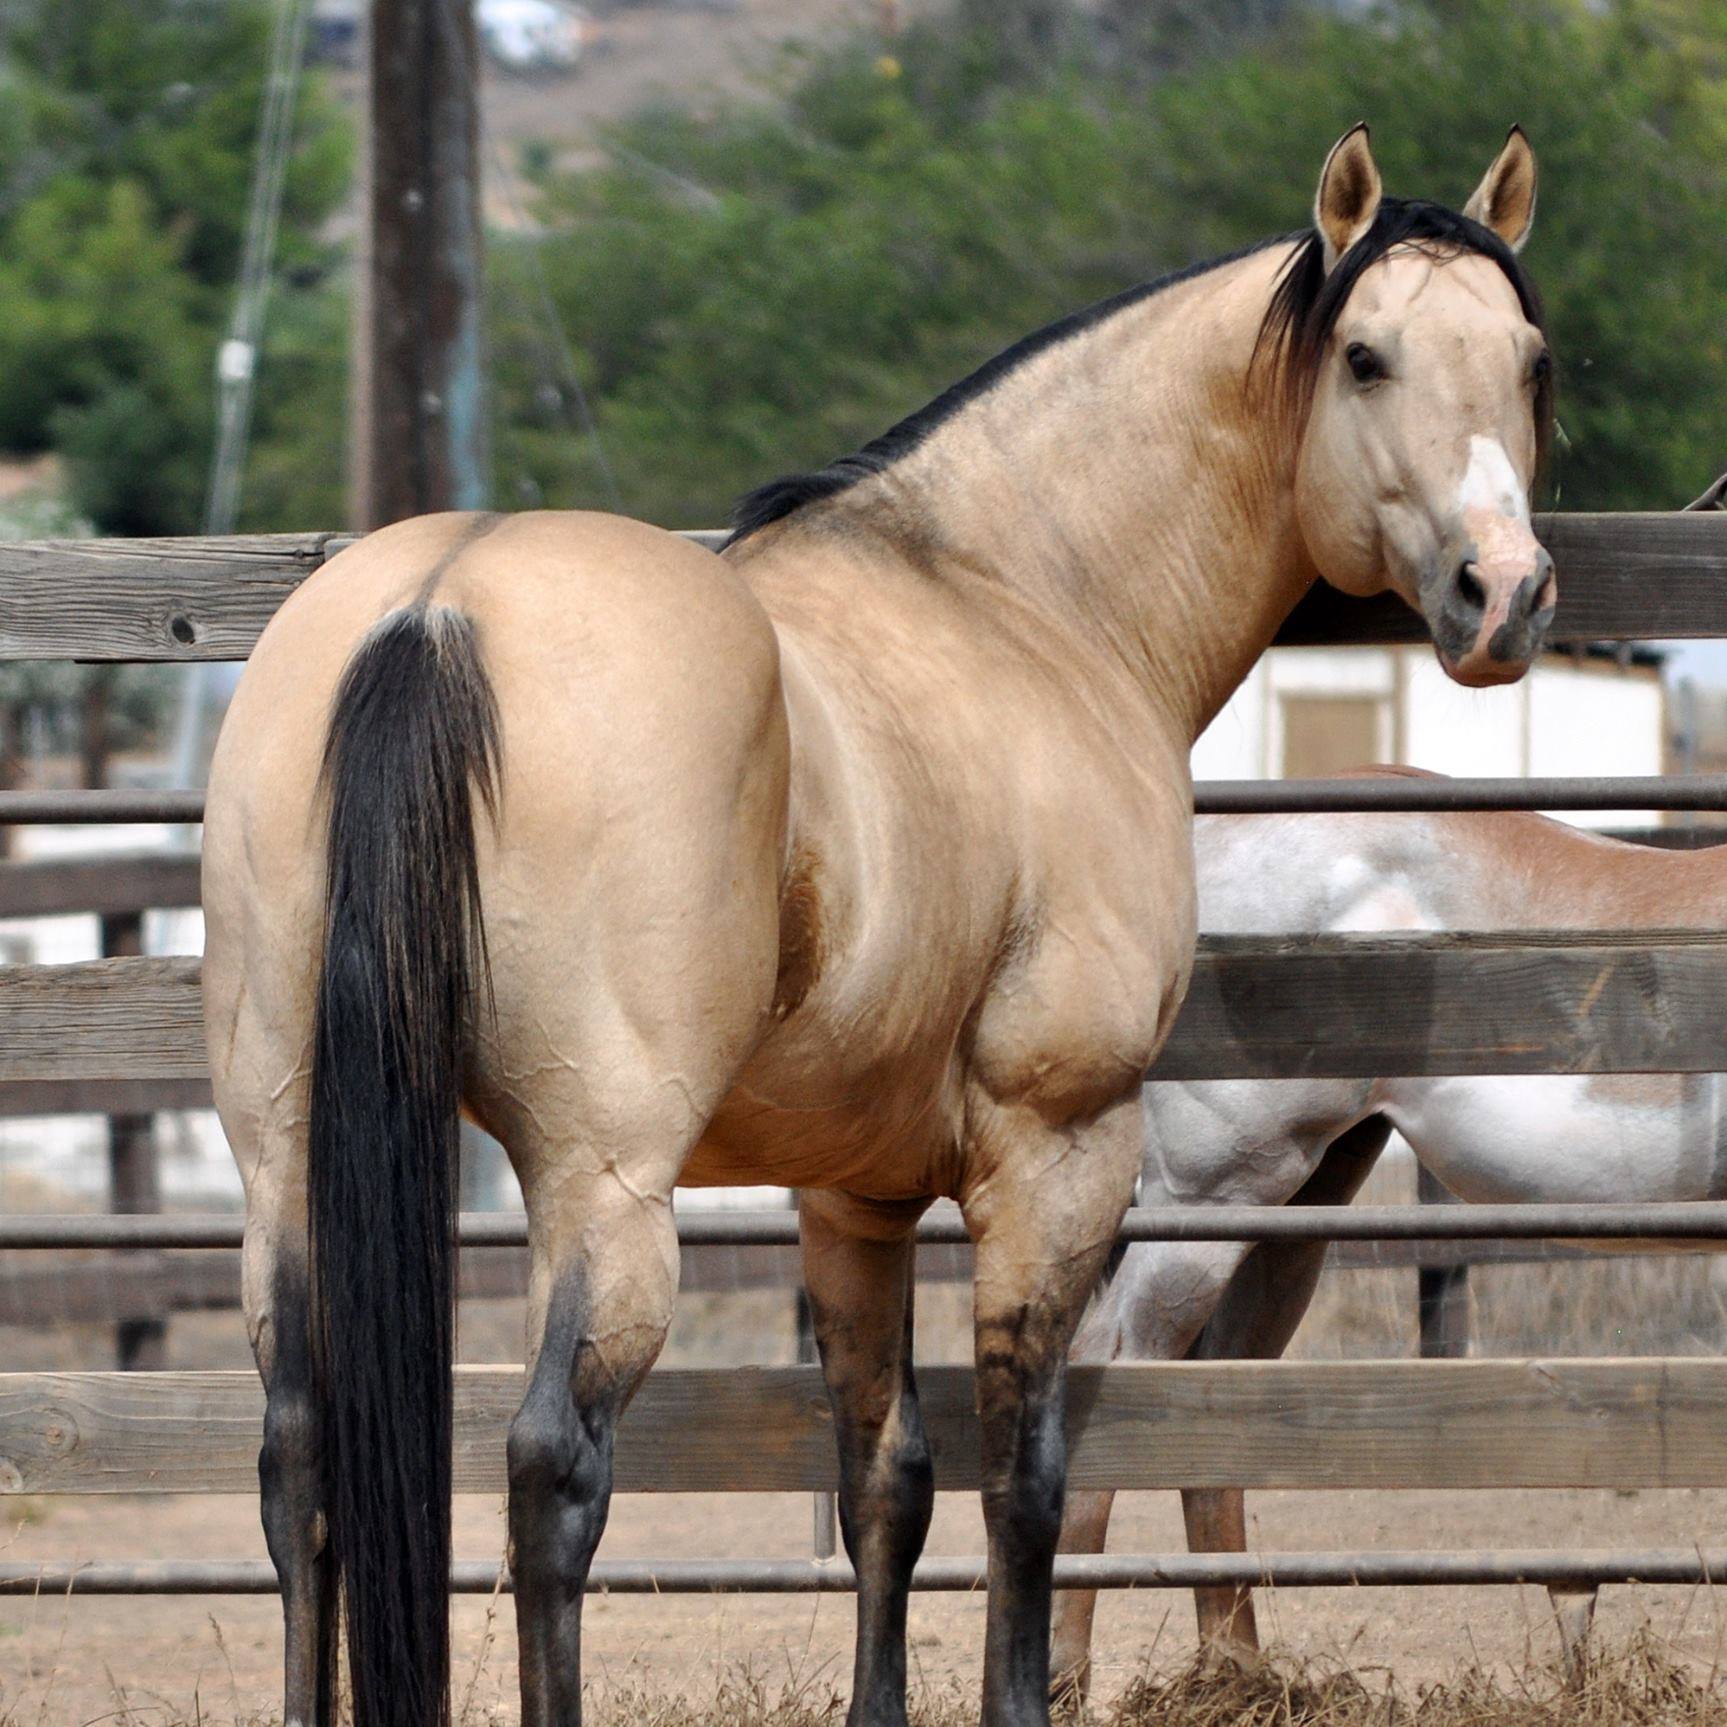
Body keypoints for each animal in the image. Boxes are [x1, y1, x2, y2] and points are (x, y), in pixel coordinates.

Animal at [198, 125, 1554, 1727]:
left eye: (1526, 358)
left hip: (286, 1153)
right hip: (603, 1177)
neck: (1021, 595)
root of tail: (436, 607)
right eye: (1363, 355)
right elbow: (1022, 1474)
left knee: (300, 1458)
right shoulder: (1056, 1154)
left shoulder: (851, 1197)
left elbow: (884, 1478)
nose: (1501, 594)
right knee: (549, 1468)